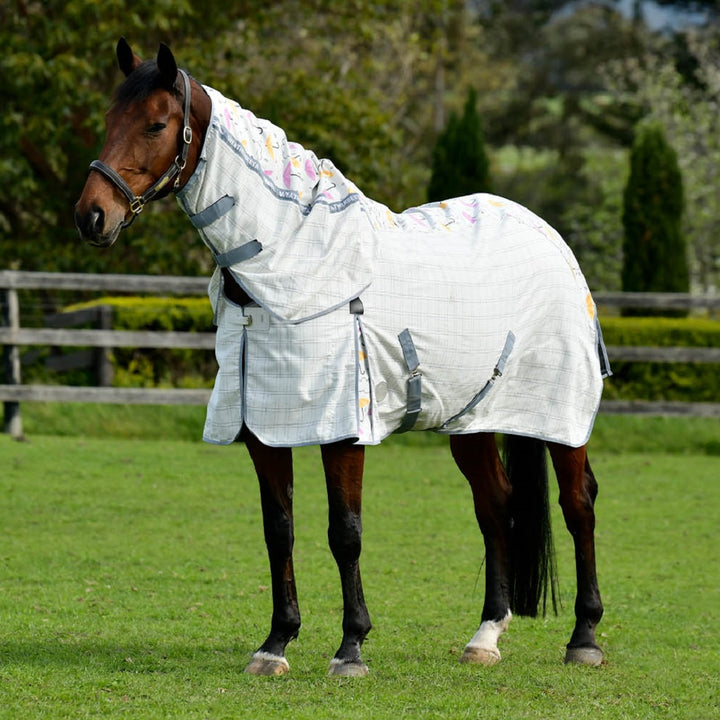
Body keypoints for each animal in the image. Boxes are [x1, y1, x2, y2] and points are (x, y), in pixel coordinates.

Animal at [73, 39, 604, 676]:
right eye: (109, 120)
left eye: (155, 124)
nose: (91, 216)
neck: (292, 266)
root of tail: (550, 237)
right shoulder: (262, 430)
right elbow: (279, 530)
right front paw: (275, 643)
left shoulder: (343, 429)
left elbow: (344, 532)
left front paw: (351, 647)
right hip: (470, 419)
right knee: (495, 505)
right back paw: (486, 636)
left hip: (559, 415)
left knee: (577, 504)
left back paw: (584, 637)